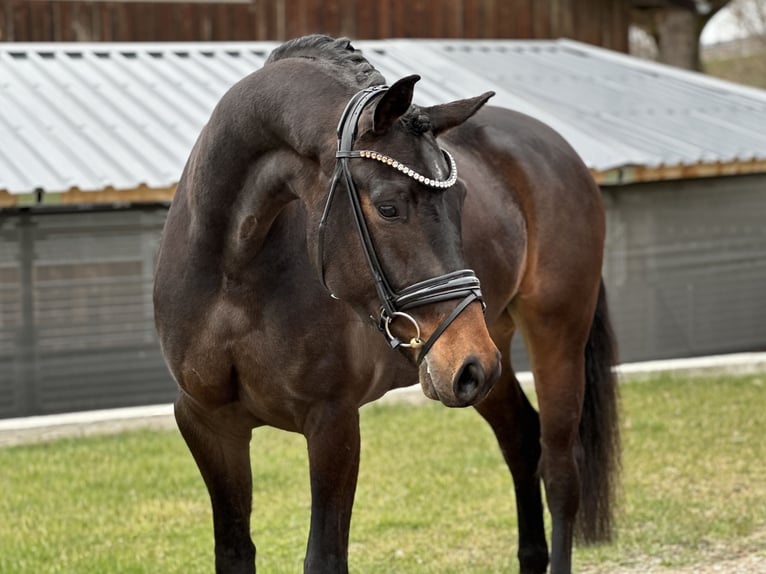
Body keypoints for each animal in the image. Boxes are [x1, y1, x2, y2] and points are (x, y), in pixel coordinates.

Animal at [153, 35, 620, 574]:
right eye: (389, 207)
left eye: (461, 199)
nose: (470, 362)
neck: (234, 271)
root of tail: (561, 151)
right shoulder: (207, 422)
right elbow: (233, 551)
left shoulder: (332, 422)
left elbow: (324, 556)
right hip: (487, 355)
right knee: (522, 441)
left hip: (547, 339)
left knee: (561, 471)